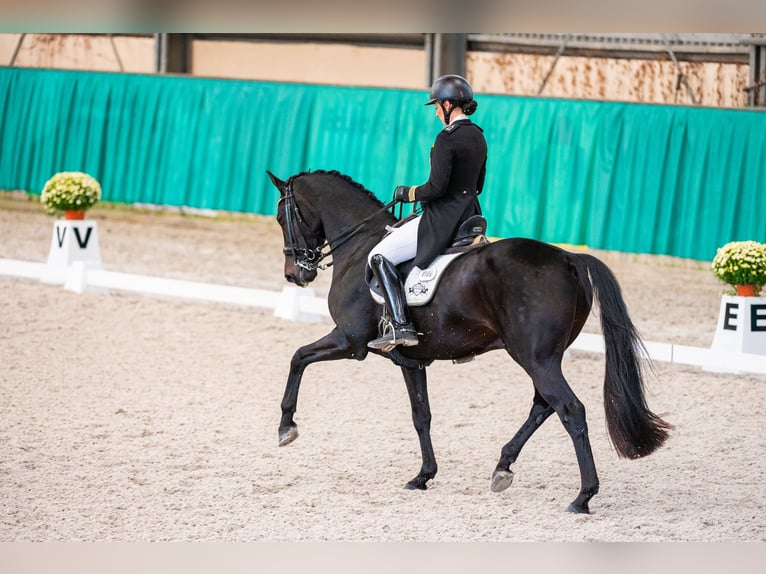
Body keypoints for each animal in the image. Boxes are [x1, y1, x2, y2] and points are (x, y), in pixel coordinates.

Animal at [268, 169, 672, 516]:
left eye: (280, 217)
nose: (294, 275)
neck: (359, 248)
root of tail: (569, 258)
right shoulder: (410, 360)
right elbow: (421, 415)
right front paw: (423, 476)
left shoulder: (350, 341)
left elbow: (297, 357)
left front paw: (286, 427)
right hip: (542, 358)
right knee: (543, 405)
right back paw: (503, 467)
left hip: (535, 358)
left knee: (570, 410)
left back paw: (582, 497)